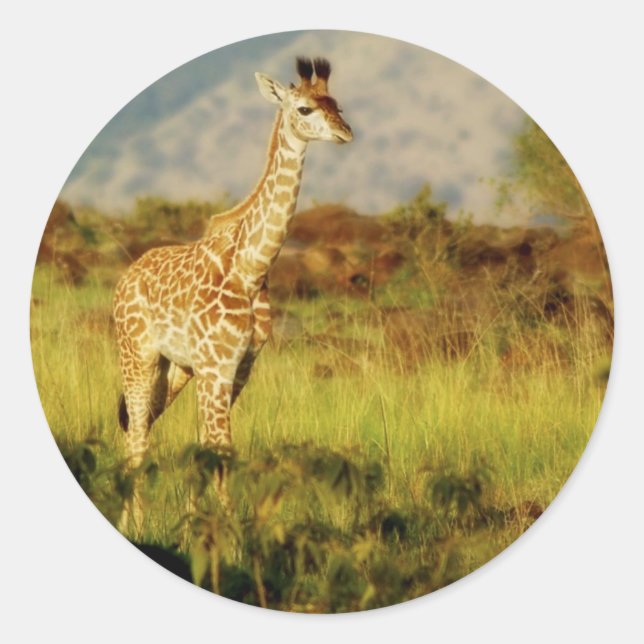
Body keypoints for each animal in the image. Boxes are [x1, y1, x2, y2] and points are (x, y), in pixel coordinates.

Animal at [113, 57, 352, 534]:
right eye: (304, 109)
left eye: (336, 105)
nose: (346, 133)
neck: (251, 267)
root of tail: (125, 278)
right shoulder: (216, 366)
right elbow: (221, 448)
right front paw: (231, 537)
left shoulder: (238, 367)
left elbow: (208, 447)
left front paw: (198, 527)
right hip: (138, 356)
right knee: (136, 438)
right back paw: (137, 526)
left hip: (175, 368)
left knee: (141, 426)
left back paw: (133, 521)